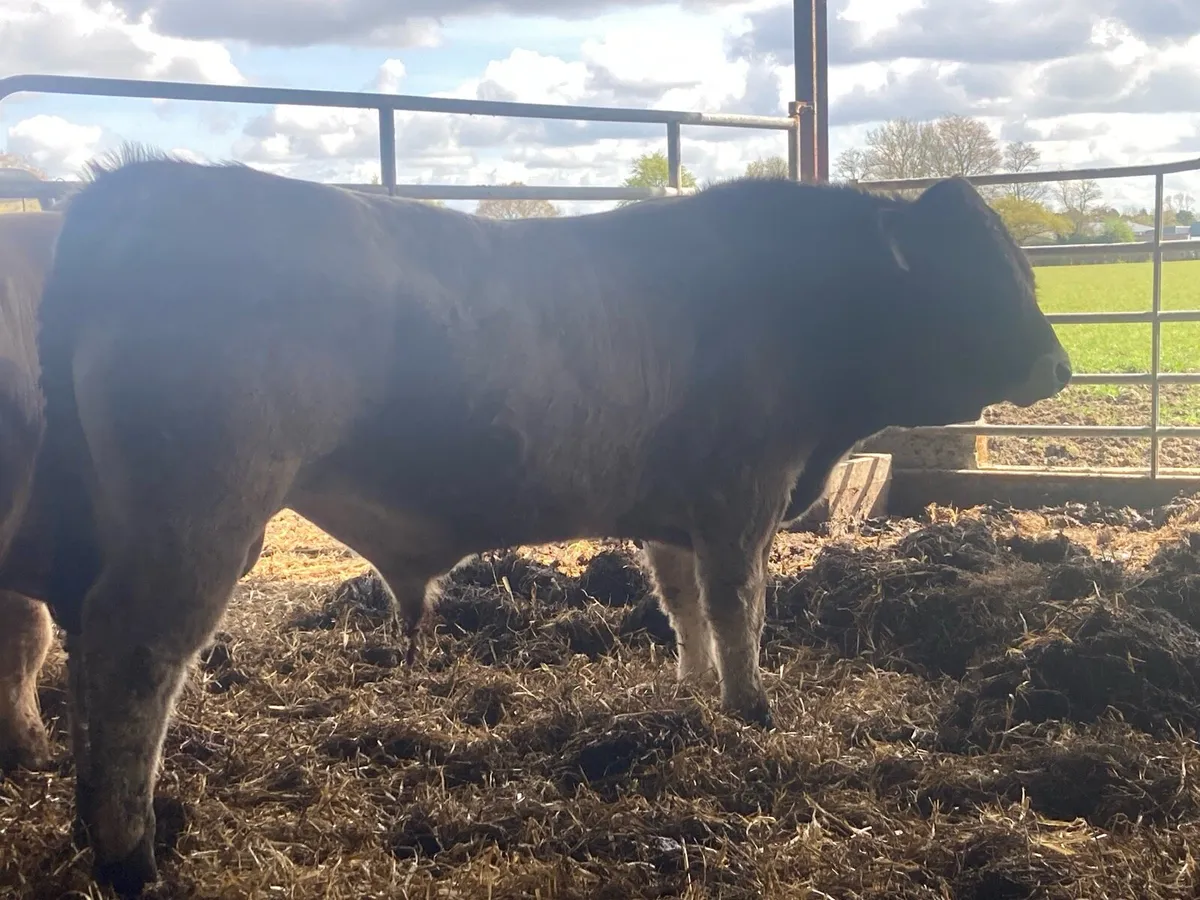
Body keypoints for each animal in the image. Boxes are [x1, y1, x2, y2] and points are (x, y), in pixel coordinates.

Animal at [34, 149, 1070, 894]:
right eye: (976, 271)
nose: (1059, 366)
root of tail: (143, 182)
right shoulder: (742, 494)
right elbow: (742, 608)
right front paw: (753, 711)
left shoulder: (677, 511)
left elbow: (685, 606)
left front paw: (692, 695)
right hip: (199, 514)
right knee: (135, 657)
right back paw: (132, 857)